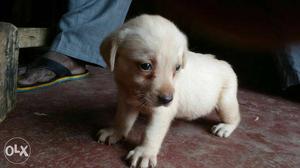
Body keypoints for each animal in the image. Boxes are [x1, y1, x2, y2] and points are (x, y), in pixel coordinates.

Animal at [97, 14, 240, 168]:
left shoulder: (162, 112)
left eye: (177, 68)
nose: (168, 99)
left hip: (226, 102)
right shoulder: (126, 100)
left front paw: (144, 153)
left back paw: (225, 127)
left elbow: (151, 133)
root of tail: (225, 63)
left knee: (235, 118)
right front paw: (115, 132)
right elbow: (122, 119)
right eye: (146, 66)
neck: (134, 91)